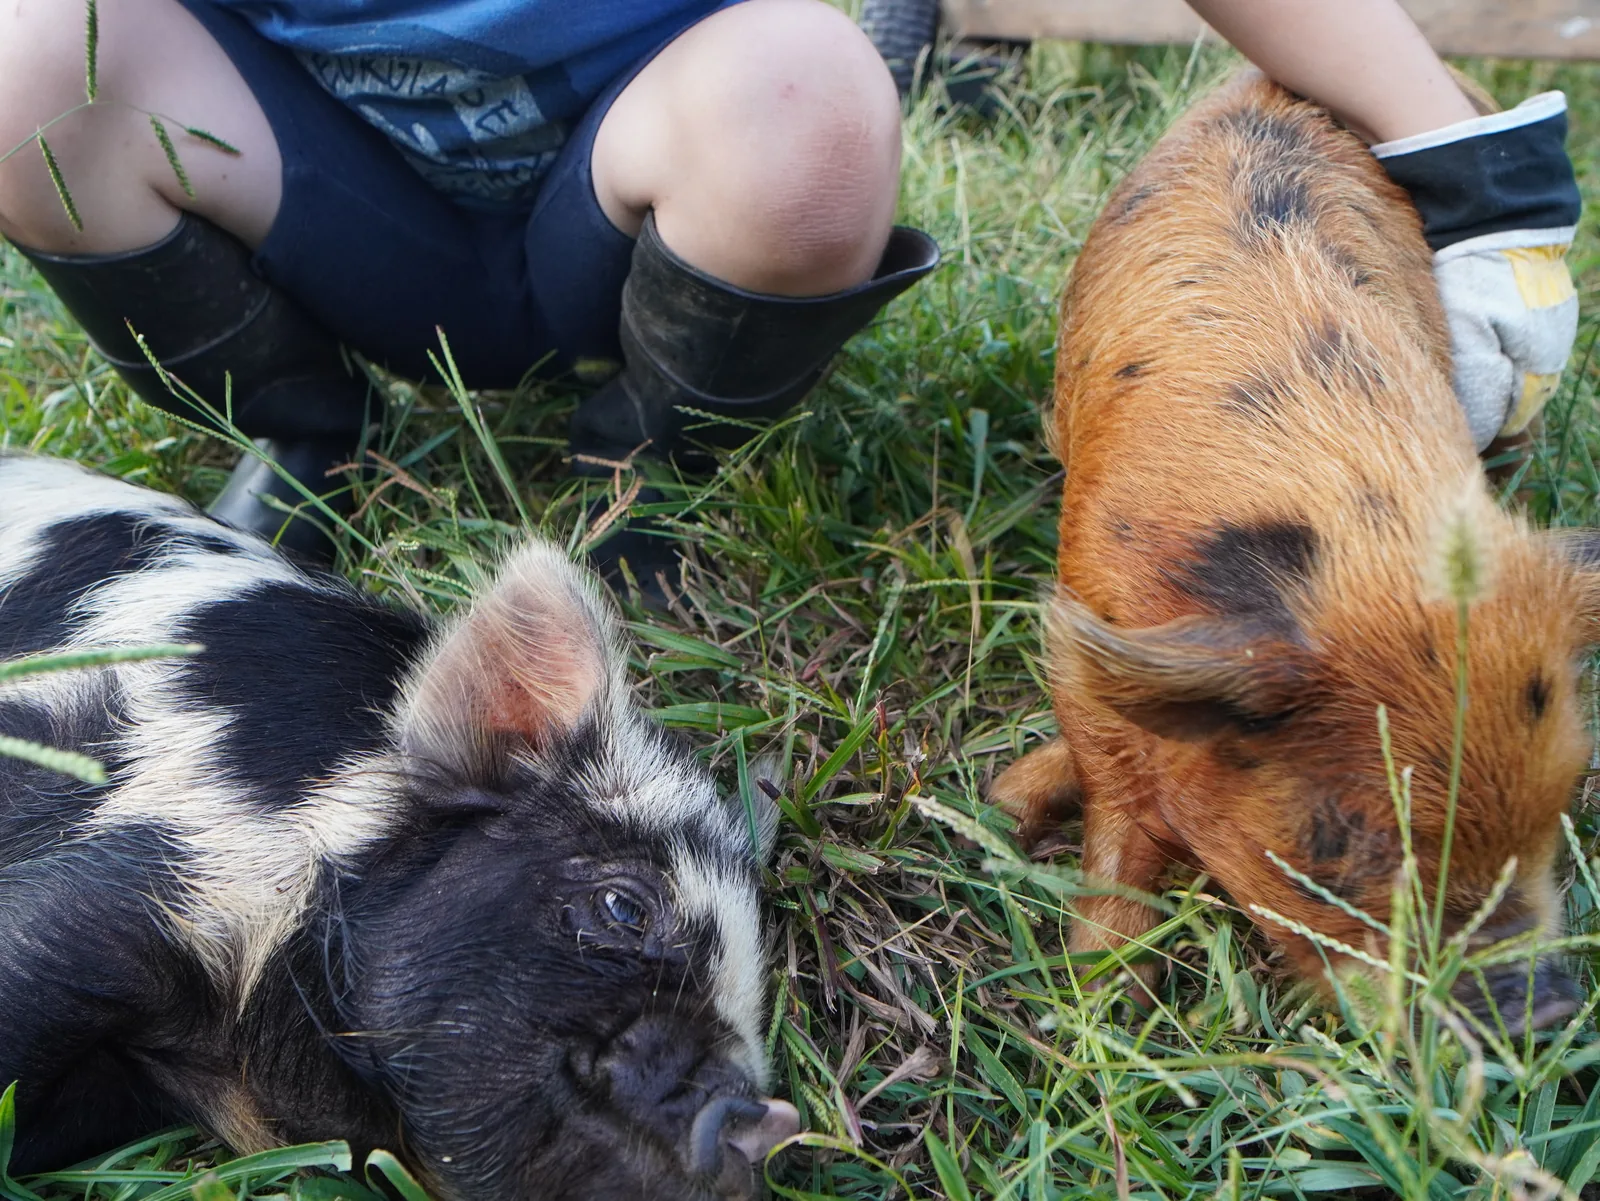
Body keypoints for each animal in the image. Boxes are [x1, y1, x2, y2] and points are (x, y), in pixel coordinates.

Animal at [992, 72, 1596, 1033]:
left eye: (1567, 791)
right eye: (1347, 838)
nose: (1545, 1012)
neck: (1360, 520)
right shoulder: (1085, 605)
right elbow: (1118, 803)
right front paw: (1095, 1002)